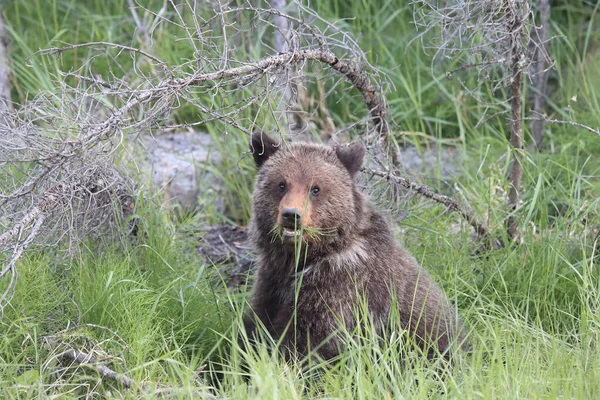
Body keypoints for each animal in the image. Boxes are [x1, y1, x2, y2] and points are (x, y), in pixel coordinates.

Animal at [241, 132, 466, 362]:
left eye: (315, 188)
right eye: (281, 184)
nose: (291, 215)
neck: (304, 257)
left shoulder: (339, 287)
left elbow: (307, 341)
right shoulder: (272, 279)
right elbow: (258, 324)